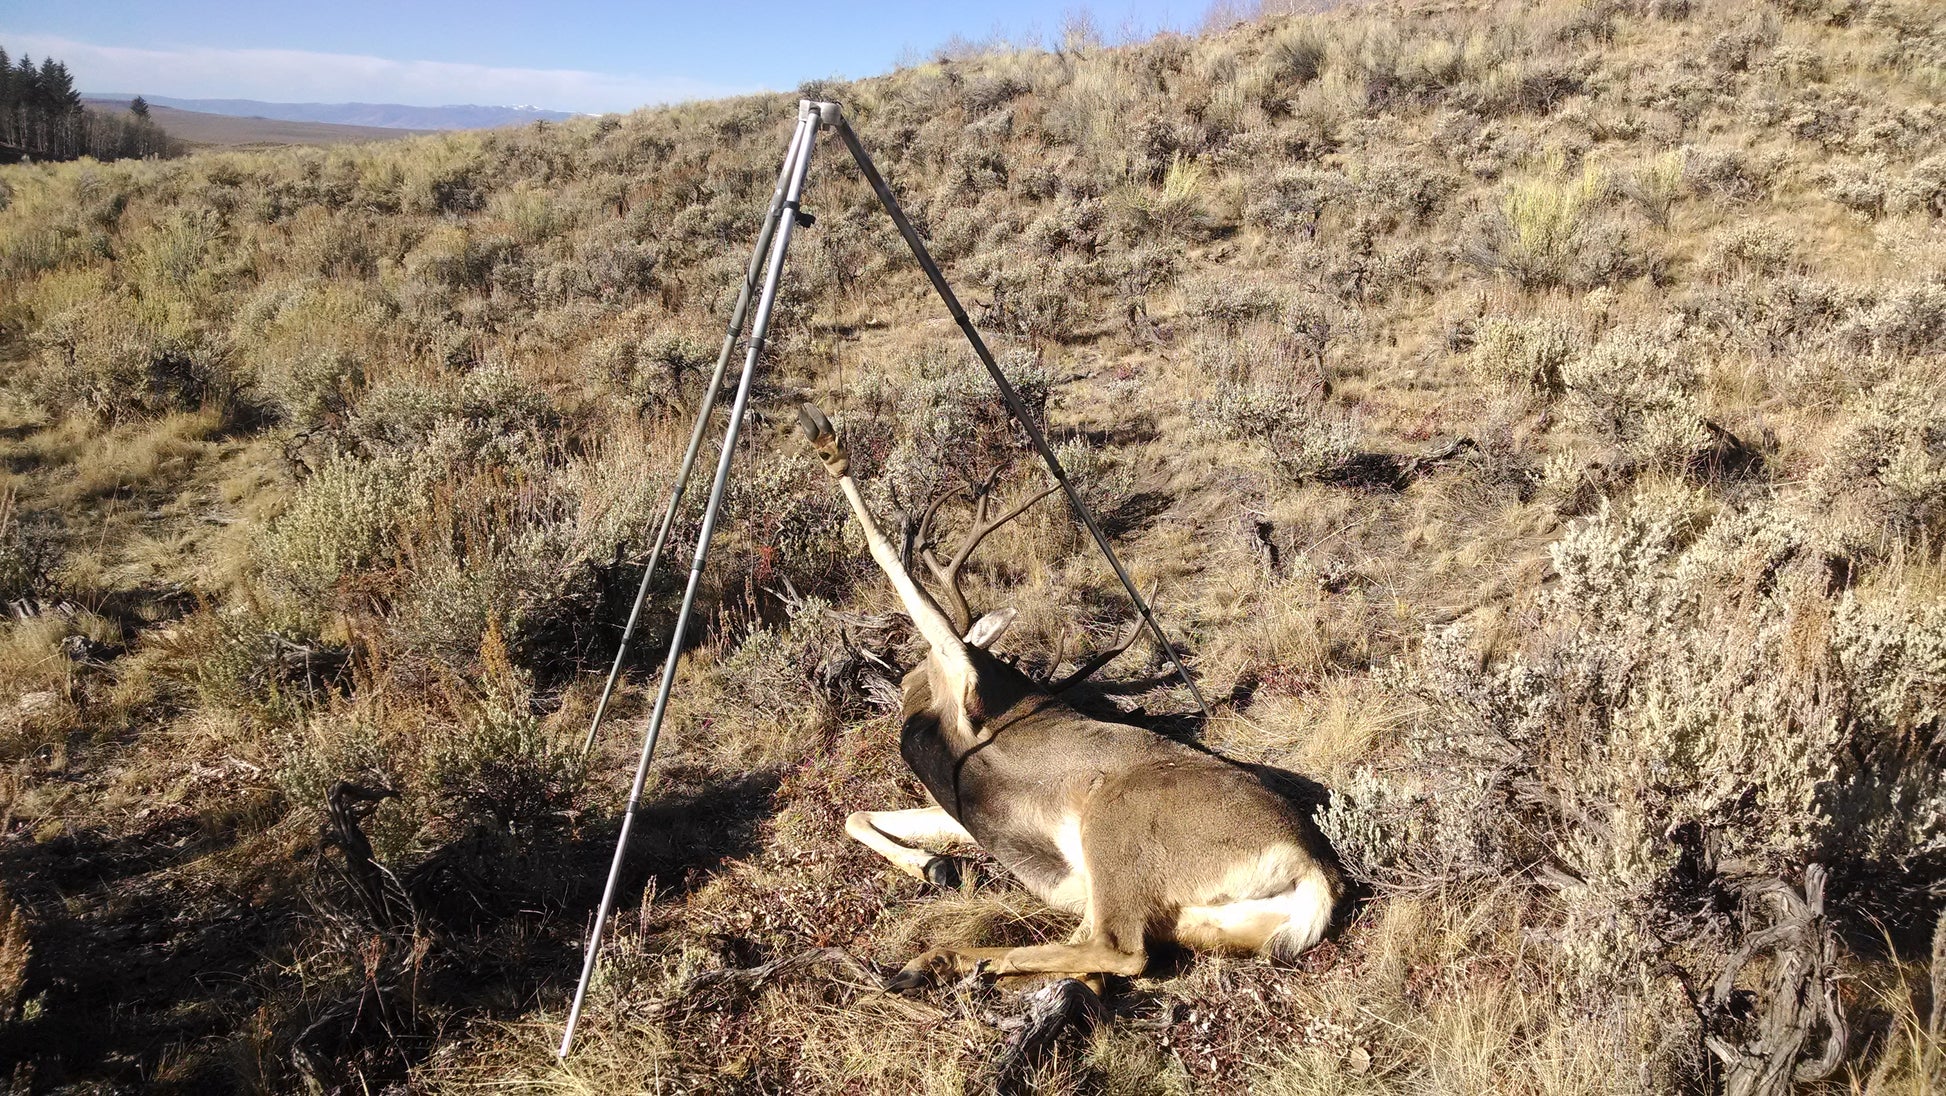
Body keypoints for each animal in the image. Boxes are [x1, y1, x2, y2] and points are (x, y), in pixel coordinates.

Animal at [790, 404, 1338, 996]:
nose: (903, 679)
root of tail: (1312, 868)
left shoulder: (960, 683)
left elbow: (889, 559)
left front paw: (828, 444)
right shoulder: (962, 811)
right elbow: (857, 815)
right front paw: (936, 865)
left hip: (1115, 826)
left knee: (1118, 951)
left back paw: (951, 961)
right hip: (1200, 919)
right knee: (1101, 954)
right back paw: (951, 962)